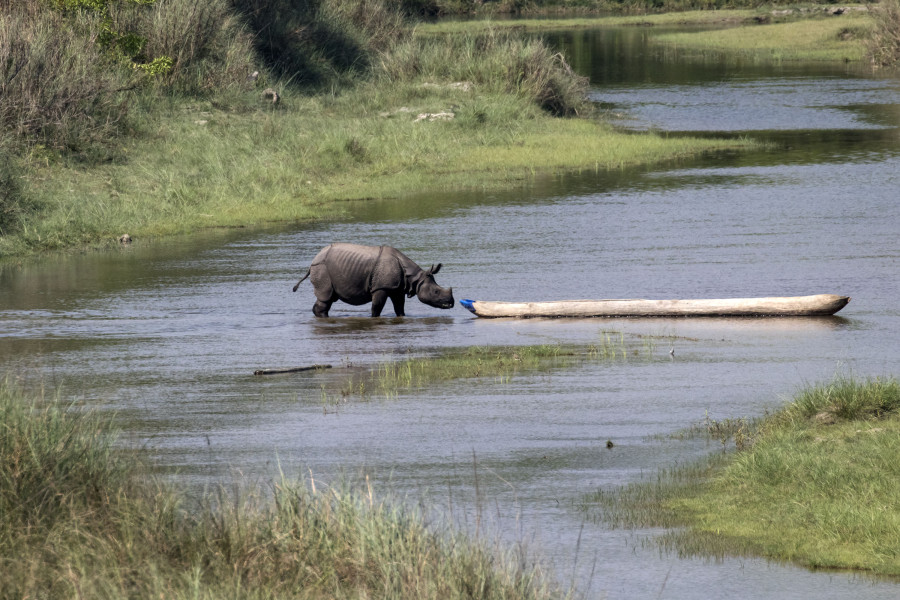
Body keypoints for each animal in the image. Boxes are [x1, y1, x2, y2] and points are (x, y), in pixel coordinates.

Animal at [292, 243, 455, 317]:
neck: (415, 278)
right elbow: (376, 307)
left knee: (329, 298)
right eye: (435, 292)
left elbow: (399, 307)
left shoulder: (397, 288)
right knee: (325, 297)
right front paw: (374, 317)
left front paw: (402, 317)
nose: (451, 303)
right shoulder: (381, 287)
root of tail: (314, 260)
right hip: (322, 267)